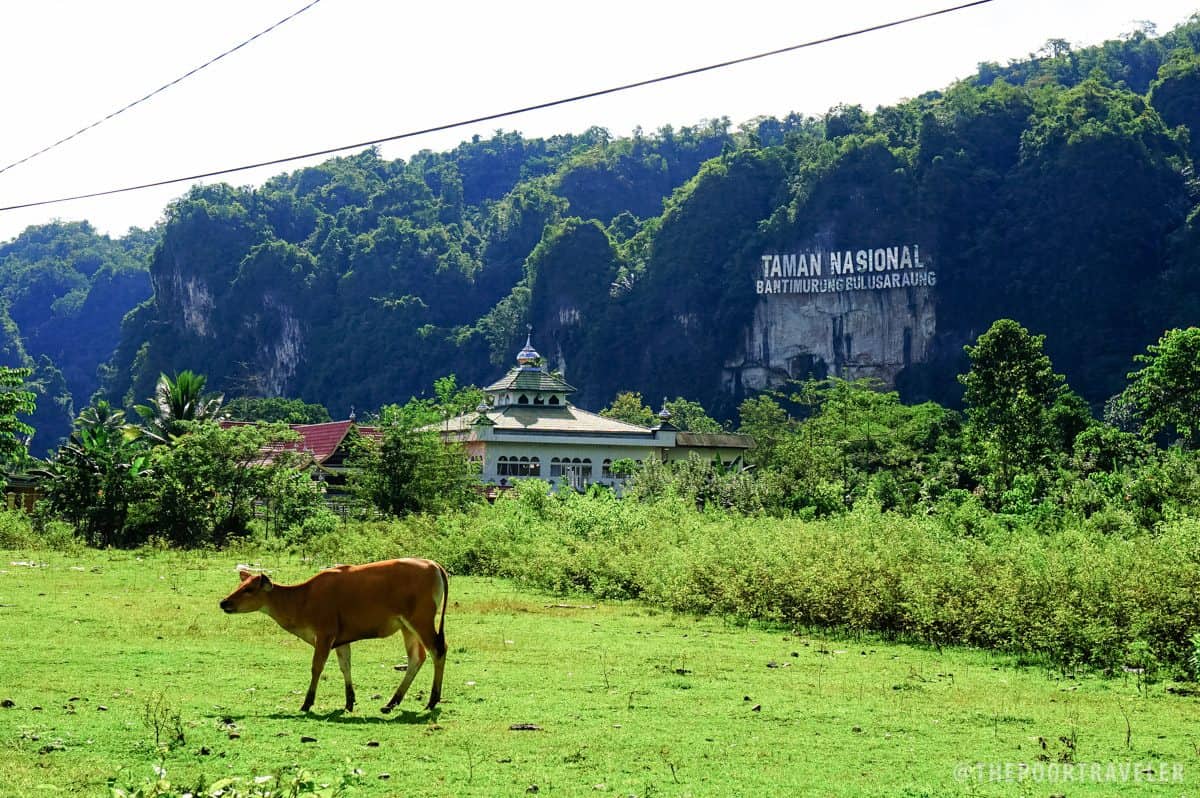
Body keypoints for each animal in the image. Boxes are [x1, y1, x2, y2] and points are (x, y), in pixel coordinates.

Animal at [220, 556, 451, 710]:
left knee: (438, 650)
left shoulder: (325, 634)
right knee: (416, 657)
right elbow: (345, 666)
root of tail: (434, 565)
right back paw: (392, 702)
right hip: (406, 626)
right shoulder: (341, 639)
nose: (224, 602)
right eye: (240, 585)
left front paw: (307, 703)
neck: (302, 598)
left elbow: (316, 667)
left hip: (420, 621)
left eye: (249, 589)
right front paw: (349, 701)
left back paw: (432, 700)